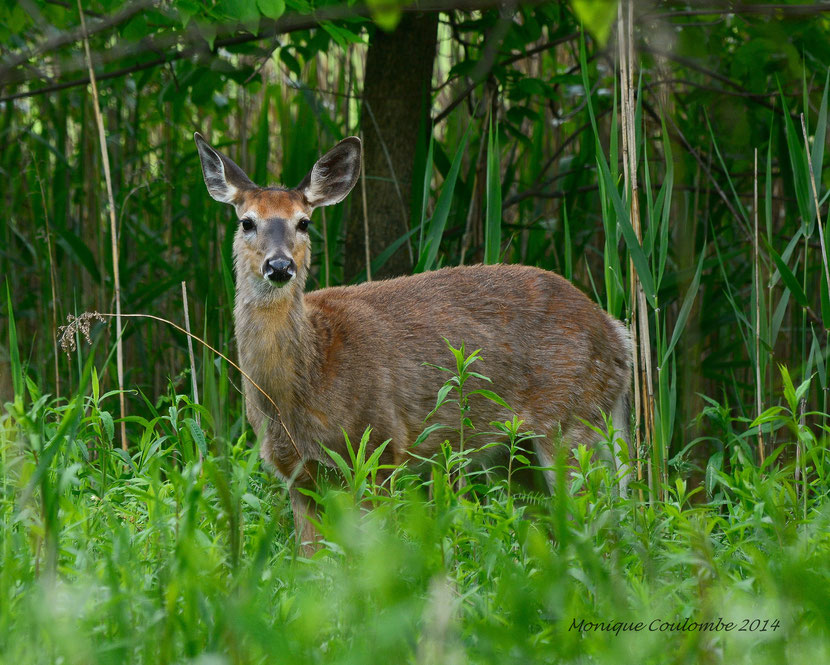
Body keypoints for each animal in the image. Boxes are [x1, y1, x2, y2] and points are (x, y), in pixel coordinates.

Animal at [195, 132, 632, 552]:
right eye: (247, 222)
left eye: (303, 222)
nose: (280, 266)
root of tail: (617, 334)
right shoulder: (295, 473)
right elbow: (311, 560)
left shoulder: (381, 445)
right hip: (522, 453)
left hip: (571, 422)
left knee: (601, 522)